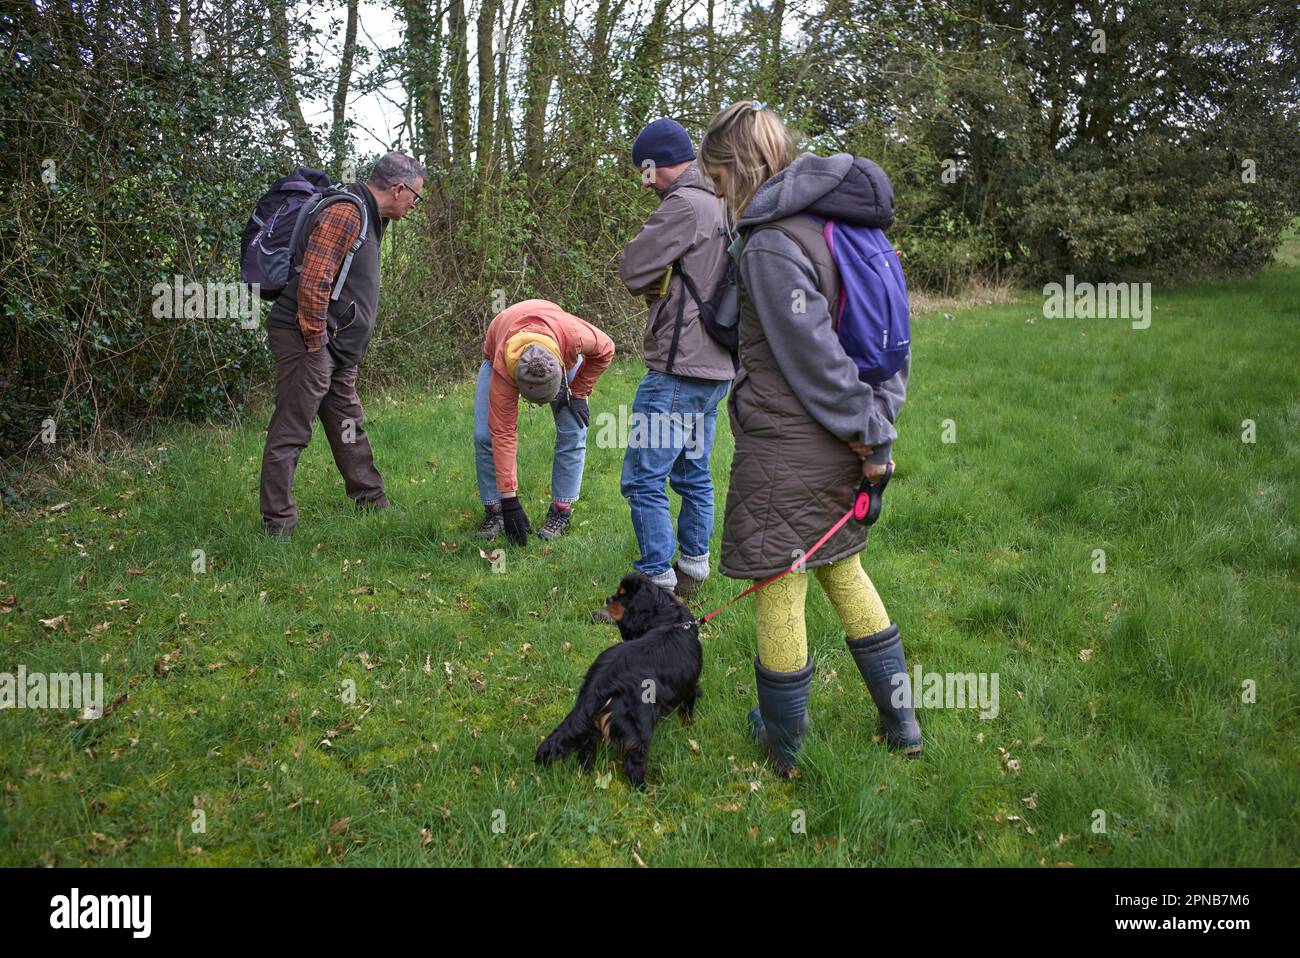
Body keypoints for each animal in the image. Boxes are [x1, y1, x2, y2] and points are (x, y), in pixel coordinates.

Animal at [535, 574, 707, 785]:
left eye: (623, 596)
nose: (609, 598)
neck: (671, 619)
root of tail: (598, 684)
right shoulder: (689, 687)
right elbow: (688, 711)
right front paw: (689, 729)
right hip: (638, 727)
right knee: (633, 762)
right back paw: (644, 787)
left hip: (593, 722)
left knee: (586, 749)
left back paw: (587, 774)